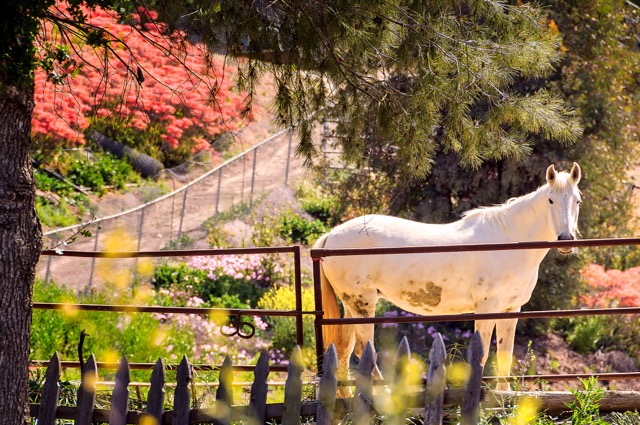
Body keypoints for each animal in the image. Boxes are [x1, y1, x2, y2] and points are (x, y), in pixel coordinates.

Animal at [314, 162, 582, 391]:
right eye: (550, 200)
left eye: (577, 201)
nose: (566, 240)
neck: (508, 242)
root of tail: (332, 236)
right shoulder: (486, 308)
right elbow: (483, 354)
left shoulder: (510, 310)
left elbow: (505, 355)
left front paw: (503, 396)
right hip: (363, 304)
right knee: (363, 350)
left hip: (352, 305)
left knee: (344, 350)